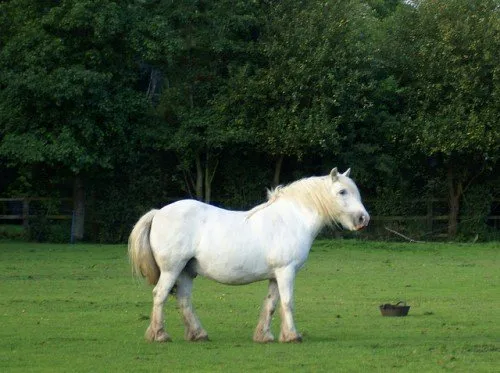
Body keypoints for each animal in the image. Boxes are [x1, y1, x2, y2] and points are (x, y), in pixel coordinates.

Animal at [128, 169, 372, 342]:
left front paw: (265, 336)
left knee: (184, 300)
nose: (363, 219)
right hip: (172, 269)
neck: (292, 219)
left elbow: (271, 304)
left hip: (187, 272)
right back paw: (159, 335)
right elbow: (287, 302)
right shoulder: (286, 272)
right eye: (342, 192)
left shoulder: (275, 275)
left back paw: (198, 334)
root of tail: (158, 212)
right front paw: (293, 336)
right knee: (160, 295)